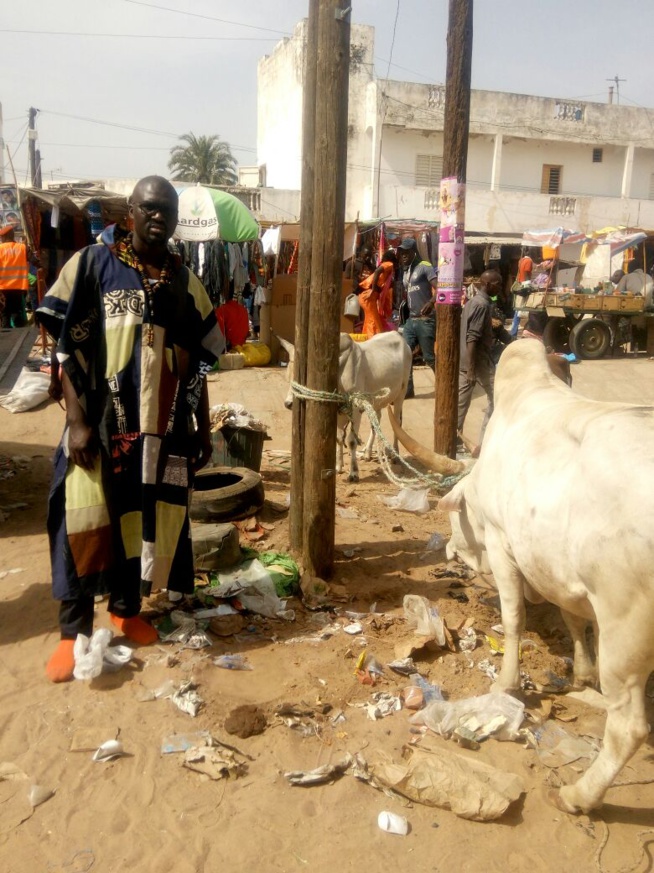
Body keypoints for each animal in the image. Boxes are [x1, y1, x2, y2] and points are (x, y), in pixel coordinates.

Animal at [280, 334, 412, 484]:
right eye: (288, 377)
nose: (289, 404)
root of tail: (399, 337)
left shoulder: (355, 409)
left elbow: (351, 441)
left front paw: (354, 473)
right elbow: (339, 438)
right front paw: (338, 467)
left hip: (401, 393)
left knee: (397, 422)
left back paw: (395, 455)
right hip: (376, 401)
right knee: (375, 422)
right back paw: (367, 453)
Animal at [390, 338, 654, 816]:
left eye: (459, 517)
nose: (453, 550)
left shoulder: (502, 546)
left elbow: (514, 619)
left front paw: (507, 683)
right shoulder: (561, 575)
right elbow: (574, 621)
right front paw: (582, 674)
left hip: (626, 625)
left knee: (628, 728)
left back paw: (579, 795)